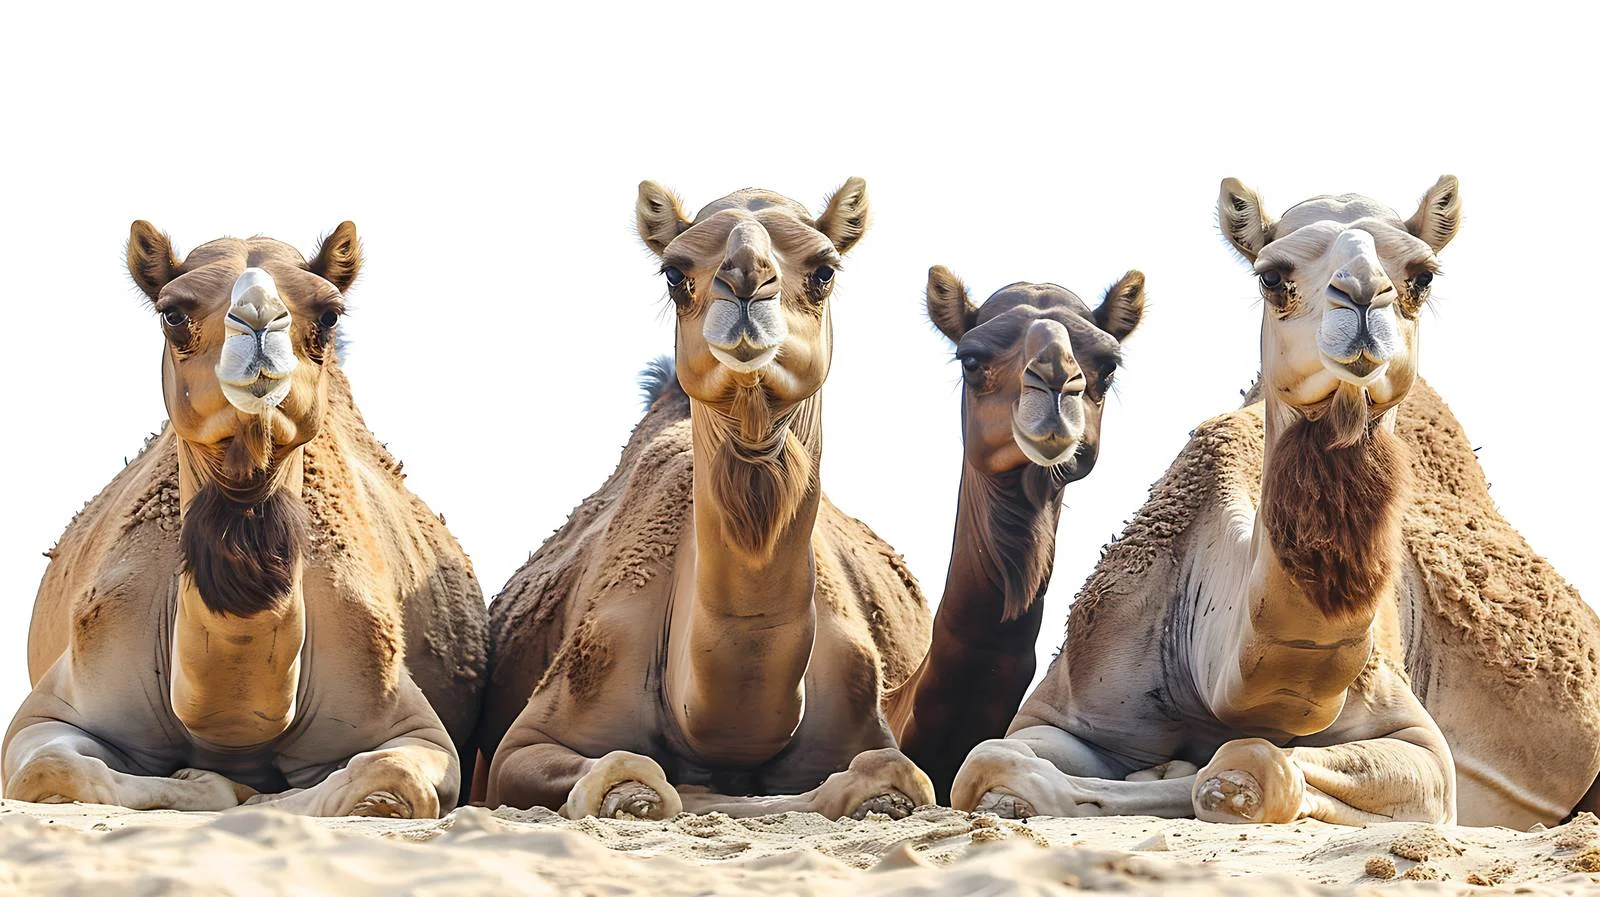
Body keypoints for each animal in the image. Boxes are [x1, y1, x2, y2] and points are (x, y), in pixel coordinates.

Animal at [3, 224, 486, 816]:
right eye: (173, 314)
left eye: (329, 315)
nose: (259, 319)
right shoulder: (56, 705)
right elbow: (52, 765)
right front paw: (216, 783)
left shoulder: (415, 726)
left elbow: (390, 775)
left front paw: (253, 790)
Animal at [479, 179, 937, 820]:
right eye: (675, 273)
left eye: (824, 270)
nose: (745, 279)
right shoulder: (524, 742)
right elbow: (635, 777)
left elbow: (890, 772)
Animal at [952, 177, 1600, 829]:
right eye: (1272, 276)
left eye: (1421, 276)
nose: (1362, 297)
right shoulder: (1063, 704)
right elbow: (990, 760)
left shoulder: (1422, 746)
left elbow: (1251, 767)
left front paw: (1181, 771)